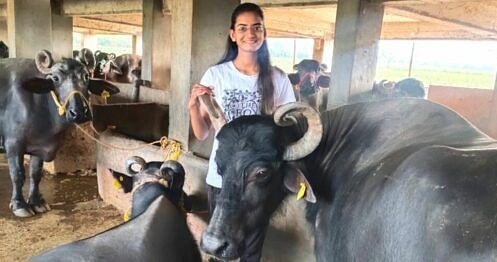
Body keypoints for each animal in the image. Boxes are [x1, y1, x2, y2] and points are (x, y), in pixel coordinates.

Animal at [0, 49, 119, 217]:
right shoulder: (13, 144)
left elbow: (35, 174)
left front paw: (36, 202)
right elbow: (18, 174)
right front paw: (19, 205)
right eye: (55, 78)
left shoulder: (41, 146)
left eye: (86, 76)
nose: (79, 112)